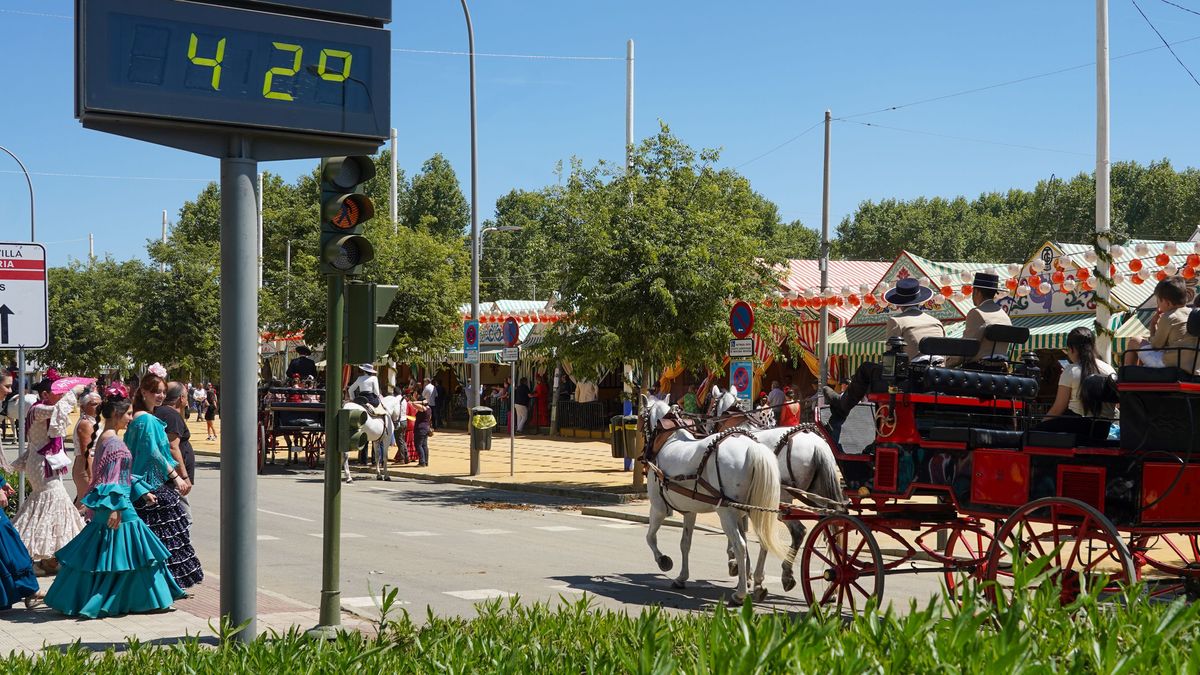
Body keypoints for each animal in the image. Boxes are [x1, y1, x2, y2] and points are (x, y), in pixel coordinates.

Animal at [638, 393, 796, 598]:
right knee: (761, 541)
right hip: (754, 509)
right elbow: (685, 543)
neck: (668, 439)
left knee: (740, 545)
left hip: (726, 512)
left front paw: (663, 560)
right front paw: (681, 577)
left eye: (641, 417)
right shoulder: (690, 511)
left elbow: (650, 537)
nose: (642, 452)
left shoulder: (658, 507)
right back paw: (758, 585)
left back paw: (740, 593)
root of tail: (753, 448)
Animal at [705, 384, 849, 588]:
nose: (707, 425)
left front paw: (736, 562)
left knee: (798, 531)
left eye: (710, 405)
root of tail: (817, 445)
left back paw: (786, 573)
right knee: (832, 525)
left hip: (784, 498)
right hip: (817, 493)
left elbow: (740, 530)